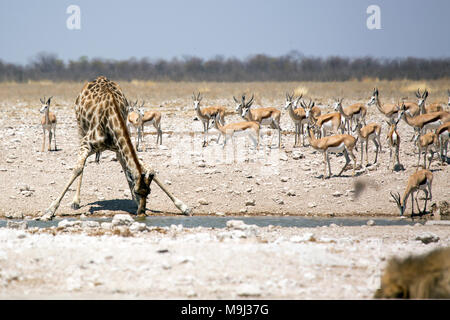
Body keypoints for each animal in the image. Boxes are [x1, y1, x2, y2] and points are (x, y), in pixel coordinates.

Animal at [40, 75, 192, 220]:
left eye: (148, 192)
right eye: (138, 191)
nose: (142, 214)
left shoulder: (119, 148)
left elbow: (146, 168)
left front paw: (184, 207)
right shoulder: (86, 143)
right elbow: (78, 169)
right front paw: (49, 211)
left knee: (123, 166)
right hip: (80, 128)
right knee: (81, 166)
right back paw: (76, 202)